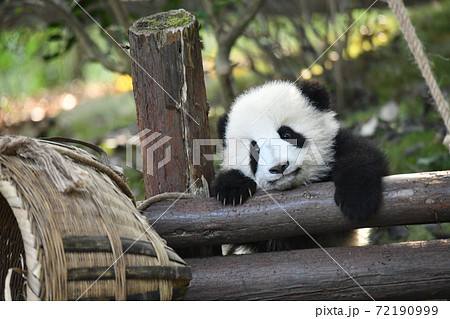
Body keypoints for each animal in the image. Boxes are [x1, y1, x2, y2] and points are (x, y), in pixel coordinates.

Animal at [212, 80, 390, 255]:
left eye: (286, 134)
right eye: (255, 149)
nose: (279, 167)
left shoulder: (335, 145)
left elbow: (362, 155)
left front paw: (357, 201)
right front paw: (231, 189)